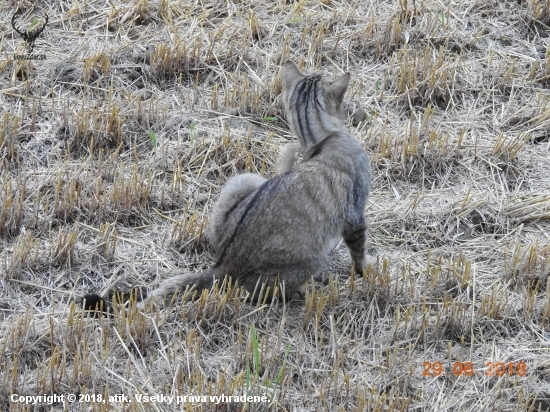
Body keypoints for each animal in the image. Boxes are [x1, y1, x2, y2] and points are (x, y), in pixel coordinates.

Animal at [141, 61, 376, 304]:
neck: (322, 136)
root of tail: (223, 266)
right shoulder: (354, 216)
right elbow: (359, 251)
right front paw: (366, 268)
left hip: (245, 180)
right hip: (312, 258)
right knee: (261, 290)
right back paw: (300, 291)